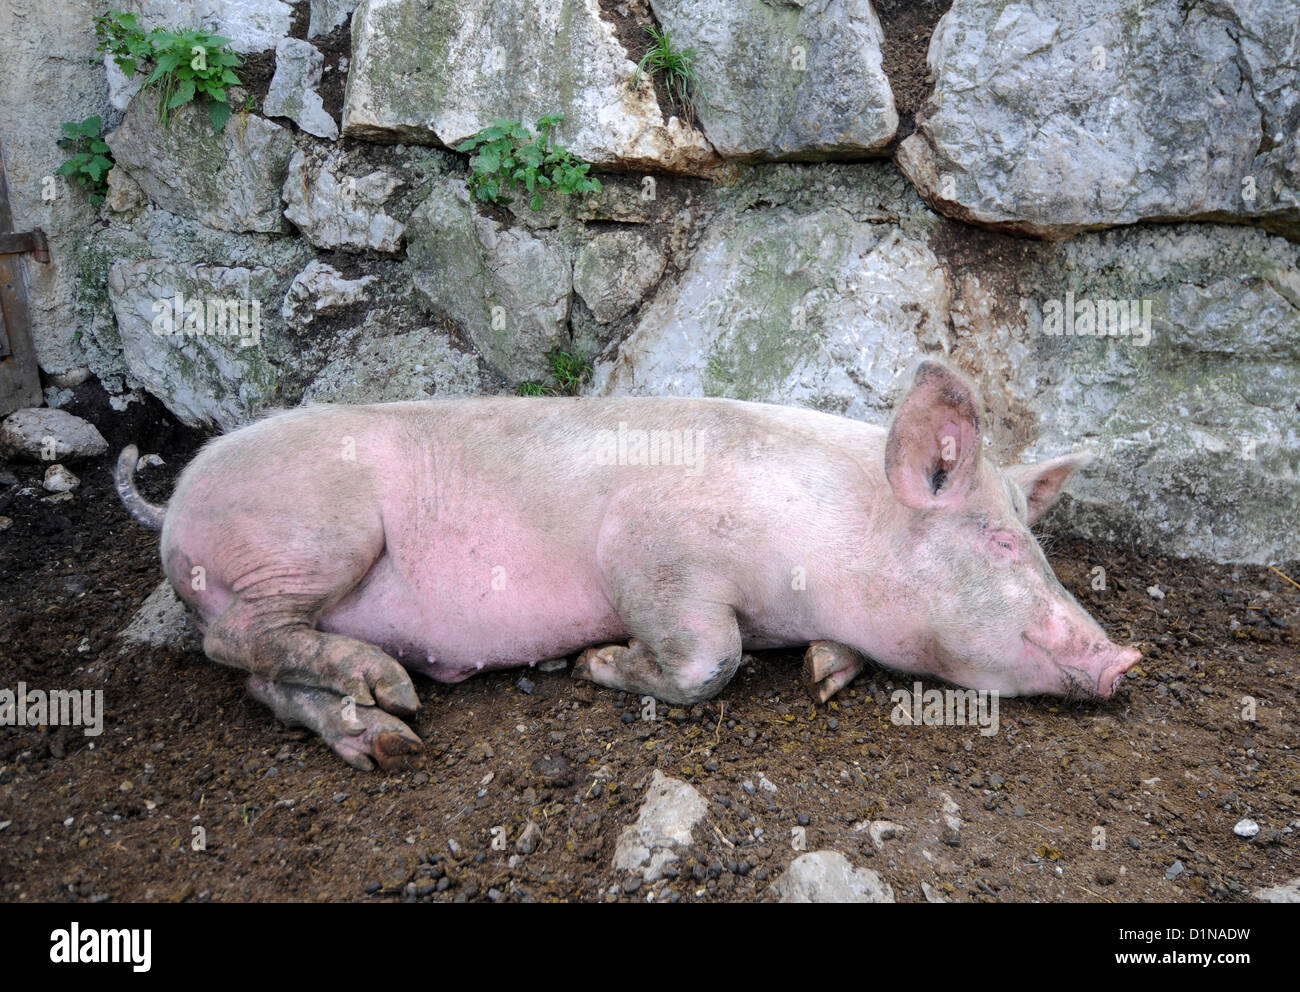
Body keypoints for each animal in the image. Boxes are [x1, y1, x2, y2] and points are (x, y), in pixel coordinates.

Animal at [119, 361, 1138, 769]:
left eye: (1037, 544)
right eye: (1000, 543)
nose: (1125, 660)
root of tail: (179, 503)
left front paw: (824, 673)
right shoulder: (650, 548)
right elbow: (710, 658)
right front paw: (591, 665)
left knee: (263, 678)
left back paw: (388, 740)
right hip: (314, 535)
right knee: (236, 639)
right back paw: (394, 688)